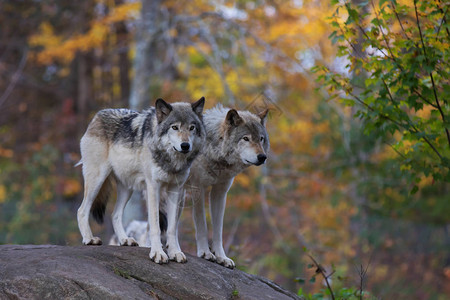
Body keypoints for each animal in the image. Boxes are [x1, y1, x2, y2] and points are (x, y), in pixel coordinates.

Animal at [76, 97, 206, 264]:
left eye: (191, 128)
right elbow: (155, 226)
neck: (170, 161)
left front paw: (175, 252)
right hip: (97, 180)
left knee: (115, 215)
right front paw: (158, 253)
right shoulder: (153, 188)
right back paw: (89, 239)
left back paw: (125, 240)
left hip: (127, 188)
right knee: (82, 210)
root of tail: (98, 115)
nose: (185, 145)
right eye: (175, 127)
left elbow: (172, 228)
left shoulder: (176, 190)